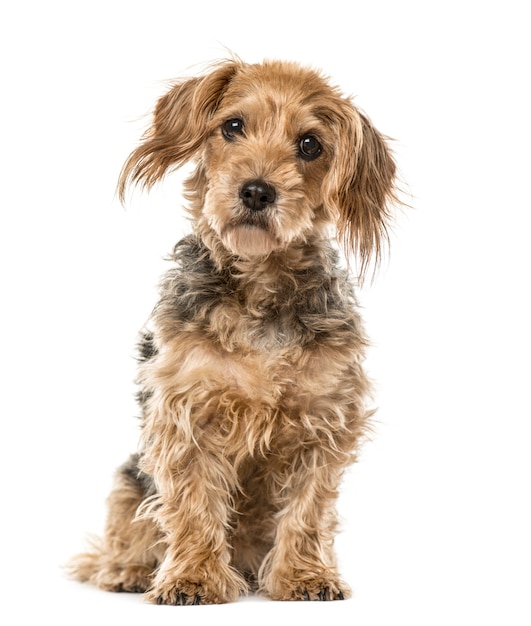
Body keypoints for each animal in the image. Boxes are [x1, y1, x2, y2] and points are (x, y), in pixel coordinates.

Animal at [67, 57, 400, 600]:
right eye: (233, 126)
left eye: (310, 144)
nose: (258, 190)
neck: (261, 286)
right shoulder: (187, 413)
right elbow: (192, 505)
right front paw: (192, 577)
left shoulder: (324, 420)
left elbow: (308, 511)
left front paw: (306, 575)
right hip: (128, 479)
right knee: (124, 530)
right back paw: (128, 570)